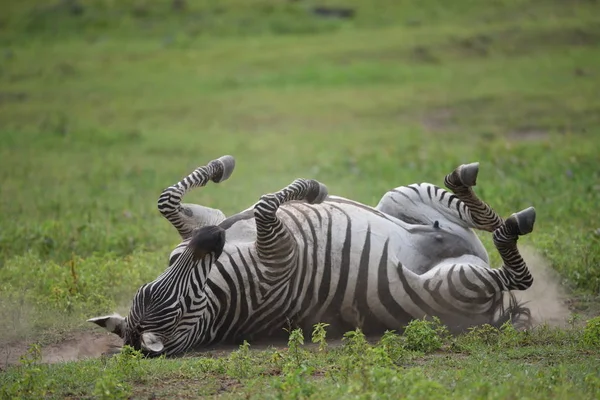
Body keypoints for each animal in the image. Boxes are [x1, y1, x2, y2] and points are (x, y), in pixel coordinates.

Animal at [88, 155, 536, 356]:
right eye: (183, 304)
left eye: (166, 271)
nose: (213, 238)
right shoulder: (280, 255)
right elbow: (264, 207)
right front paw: (311, 188)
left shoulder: (203, 223)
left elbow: (167, 198)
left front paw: (224, 166)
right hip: (457, 283)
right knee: (517, 275)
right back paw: (512, 224)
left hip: (402, 198)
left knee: (473, 217)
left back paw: (468, 185)